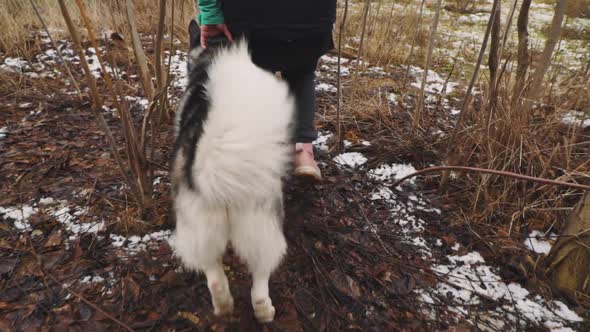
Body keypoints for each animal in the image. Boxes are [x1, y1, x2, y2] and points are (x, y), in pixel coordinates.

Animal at [169, 38, 294, 322]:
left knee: (214, 276)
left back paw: (224, 306)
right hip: (265, 223)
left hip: (202, 229)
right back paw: (265, 312)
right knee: (260, 277)